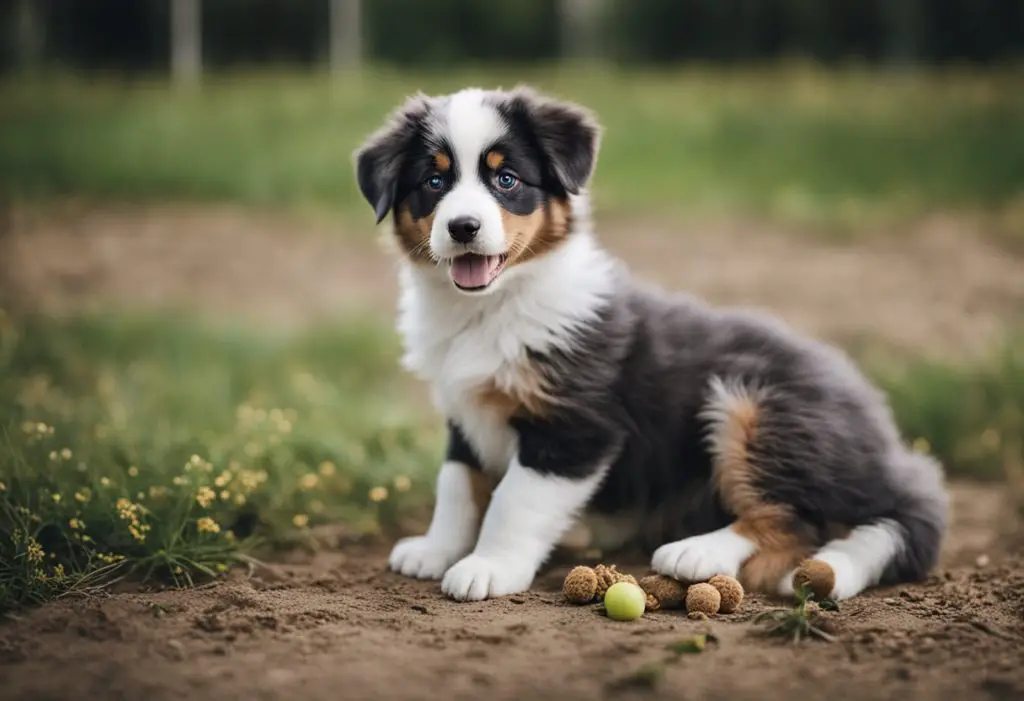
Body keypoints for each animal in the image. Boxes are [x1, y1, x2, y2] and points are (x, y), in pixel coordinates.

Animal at [354, 85, 950, 601]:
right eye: (434, 183)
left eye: (506, 179)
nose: (463, 227)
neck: (488, 309)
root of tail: (888, 443)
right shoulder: (464, 411)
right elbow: (457, 485)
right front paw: (435, 550)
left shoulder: (575, 427)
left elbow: (513, 500)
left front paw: (488, 567)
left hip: (759, 406)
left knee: (799, 516)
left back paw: (700, 553)